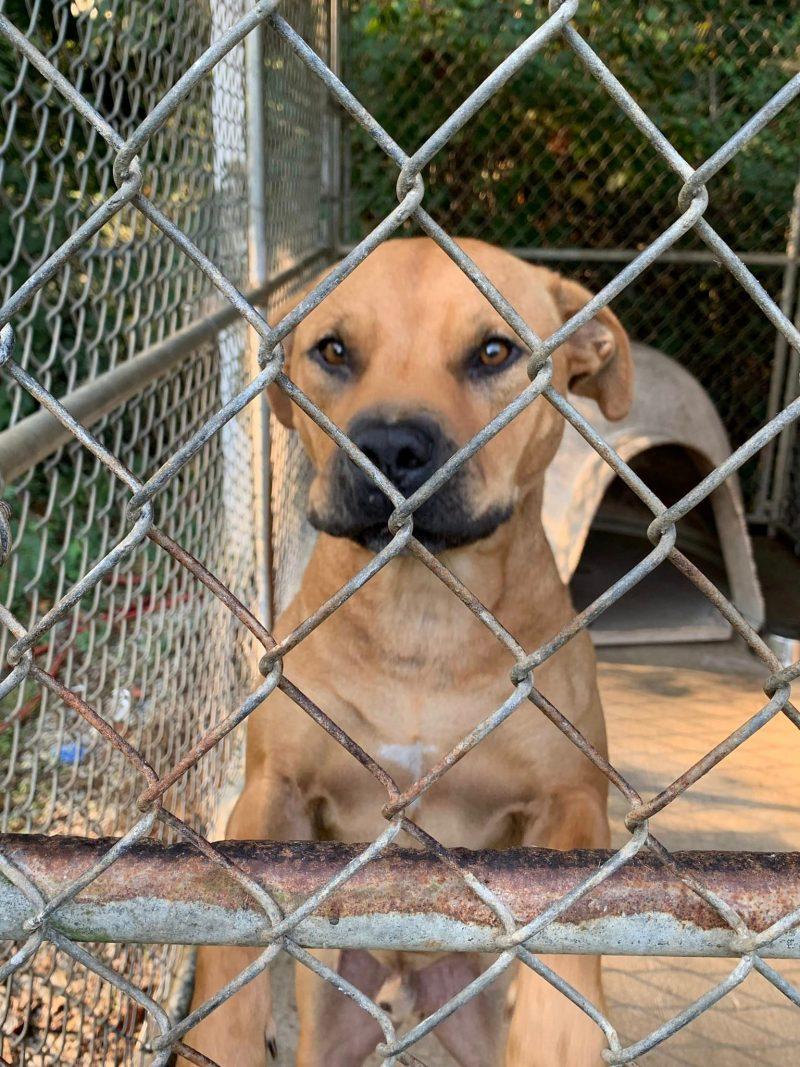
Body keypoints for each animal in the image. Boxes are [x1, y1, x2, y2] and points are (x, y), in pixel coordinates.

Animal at [183, 240, 631, 1067]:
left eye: (494, 351)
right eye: (333, 349)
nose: (388, 445)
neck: (422, 620)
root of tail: (404, 971)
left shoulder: (573, 799)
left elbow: (572, 934)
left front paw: (562, 1037)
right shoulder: (272, 788)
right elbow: (232, 925)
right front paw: (222, 1037)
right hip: (333, 1016)